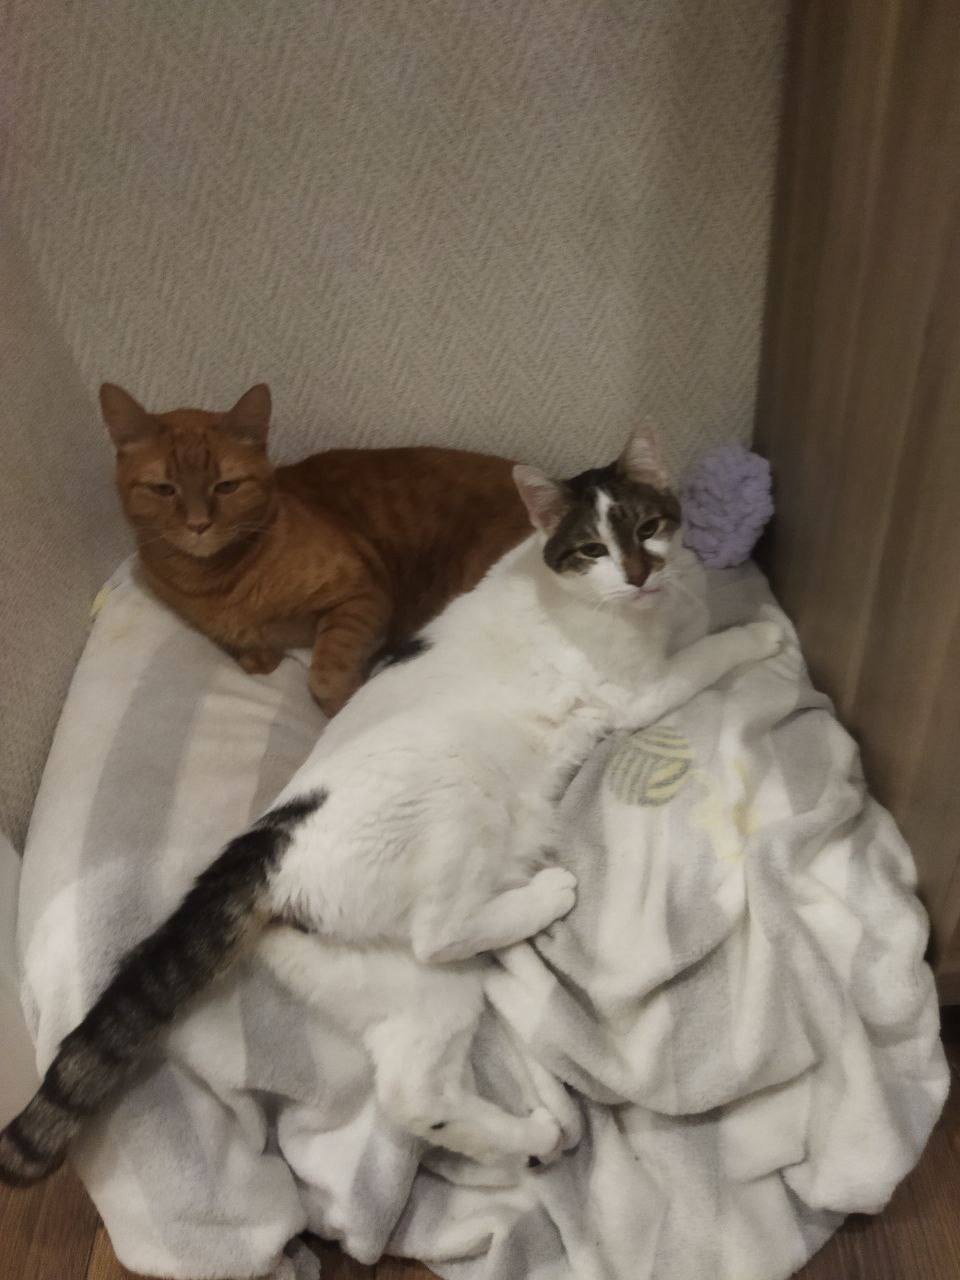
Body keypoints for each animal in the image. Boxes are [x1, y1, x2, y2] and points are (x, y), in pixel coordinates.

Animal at [0, 430, 781, 1182]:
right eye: (592, 549)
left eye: (649, 527)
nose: (640, 574)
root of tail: (266, 843)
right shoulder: (638, 693)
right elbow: (707, 654)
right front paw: (765, 633)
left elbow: (699, 621)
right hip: (453, 801)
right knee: (439, 932)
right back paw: (547, 897)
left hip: (415, 990)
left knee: (413, 1095)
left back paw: (530, 1138)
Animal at [100, 382, 530, 715]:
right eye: (164, 489)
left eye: (226, 486)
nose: (198, 524)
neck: (217, 584)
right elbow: (249, 654)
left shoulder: (361, 594)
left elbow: (325, 674)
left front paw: (343, 704)